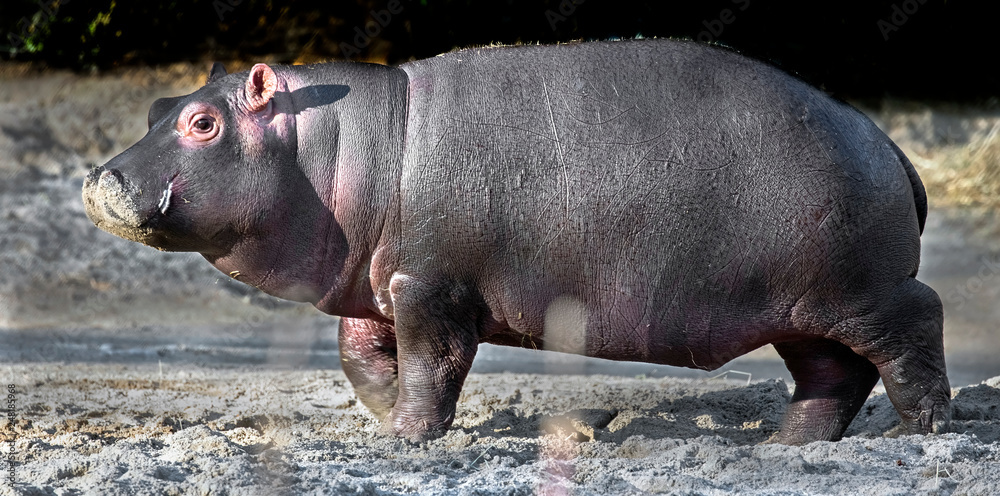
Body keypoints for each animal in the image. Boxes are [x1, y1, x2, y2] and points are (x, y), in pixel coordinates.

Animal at [82, 39, 950, 445]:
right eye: (158, 106)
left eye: (203, 122)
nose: (97, 176)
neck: (342, 141)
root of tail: (891, 146)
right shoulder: (380, 282)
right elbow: (360, 356)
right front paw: (385, 414)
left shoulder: (431, 286)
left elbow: (433, 363)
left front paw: (410, 433)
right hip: (802, 307)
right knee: (832, 375)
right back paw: (785, 444)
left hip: (861, 291)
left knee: (915, 327)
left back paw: (920, 429)